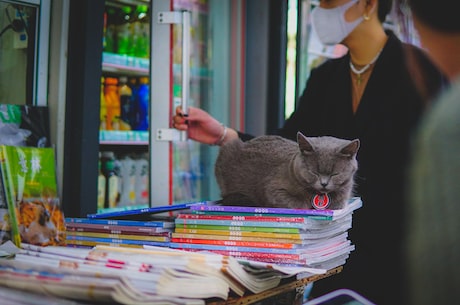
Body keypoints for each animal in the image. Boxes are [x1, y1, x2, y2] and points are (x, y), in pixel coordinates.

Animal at [214, 131, 362, 209]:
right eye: (313, 172)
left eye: (335, 174)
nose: (324, 183)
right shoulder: (273, 190)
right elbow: (297, 203)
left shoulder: (343, 194)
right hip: (227, 150)